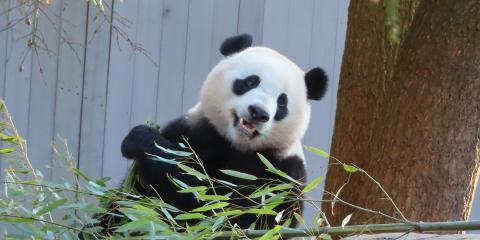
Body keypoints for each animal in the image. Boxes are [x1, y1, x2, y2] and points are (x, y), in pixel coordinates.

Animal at [118, 33, 328, 231]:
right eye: (250, 82)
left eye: (282, 102)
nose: (258, 112)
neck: (236, 144)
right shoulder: (192, 131)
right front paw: (139, 138)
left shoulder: (282, 175)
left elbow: (214, 203)